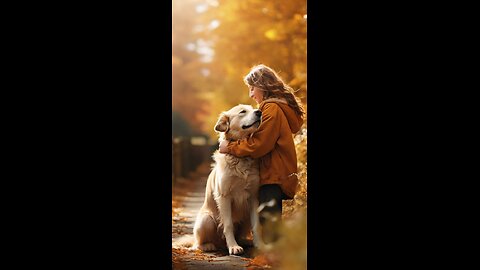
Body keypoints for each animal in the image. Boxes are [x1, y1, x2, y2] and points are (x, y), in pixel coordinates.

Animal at [192, 104, 264, 255]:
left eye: (252, 108)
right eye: (243, 111)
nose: (259, 112)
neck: (240, 157)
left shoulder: (253, 196)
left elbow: (256, 225)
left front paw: (260, 245)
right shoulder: (224, 196)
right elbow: (228, 224)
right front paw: (233, 247)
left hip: (245, 217)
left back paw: (245, 241)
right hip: (206, 220)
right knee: (197, 244)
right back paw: (209, 246)